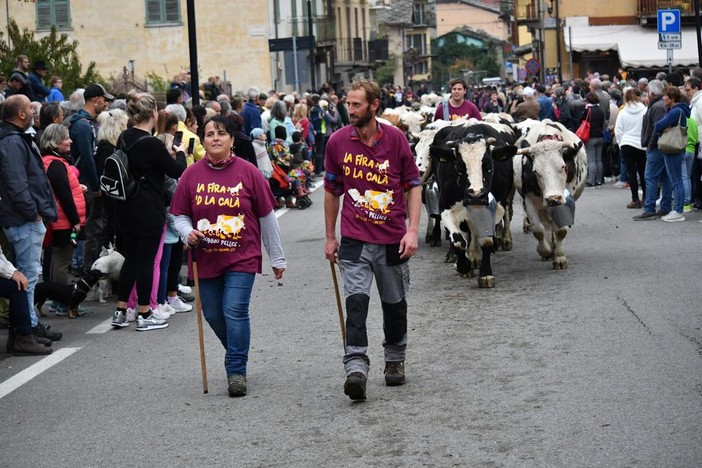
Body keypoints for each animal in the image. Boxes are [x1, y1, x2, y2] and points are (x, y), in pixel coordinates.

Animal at [426, 120, 520, 288]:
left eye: (489, 166)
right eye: (459, 166)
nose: (476, 196)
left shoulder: (496, 208)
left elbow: (486, 240)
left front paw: (485, 274)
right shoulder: (446, 208)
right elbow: (458, 240)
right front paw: (463, 266)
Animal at [512, 119, 588, 268]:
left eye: (563, 166)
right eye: (535, 171)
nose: (553, 198)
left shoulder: (564, 199)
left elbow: (560, 230)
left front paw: (559, 257)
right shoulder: (528, 200)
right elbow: (538, 230)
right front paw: (545, 251)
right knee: (546, 224)